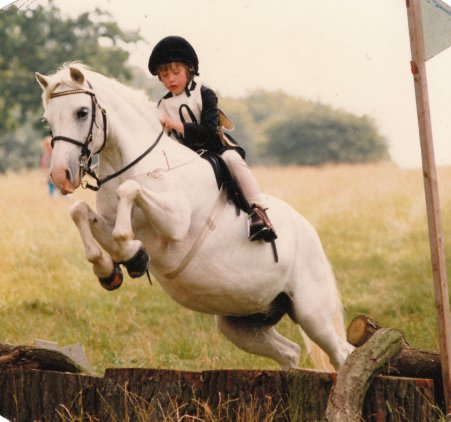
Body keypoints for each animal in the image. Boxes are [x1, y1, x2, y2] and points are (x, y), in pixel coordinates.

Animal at [36, 62, 354, 370]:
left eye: (81, 112)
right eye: (49, 120)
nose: (60, 176)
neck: (135, 163)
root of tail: (310, 232)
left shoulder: (175, 221)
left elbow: (129, 193)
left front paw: (130, 253)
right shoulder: (108, 220)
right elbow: (80, 212)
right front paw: (112, 267)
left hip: (312, 312)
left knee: (342, 353)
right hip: (243, 322)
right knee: (290, 353)